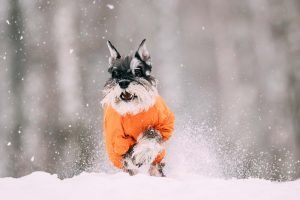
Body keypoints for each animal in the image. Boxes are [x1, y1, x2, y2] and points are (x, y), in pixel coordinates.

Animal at [102, 39, 175, 177]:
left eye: (137, 71)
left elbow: (152, 134)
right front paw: (135, 158)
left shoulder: (163, 126)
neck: (133, 111)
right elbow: (127, 152)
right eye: (115, 74)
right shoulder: (117, 140)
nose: (123, 83)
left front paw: (142, 153)